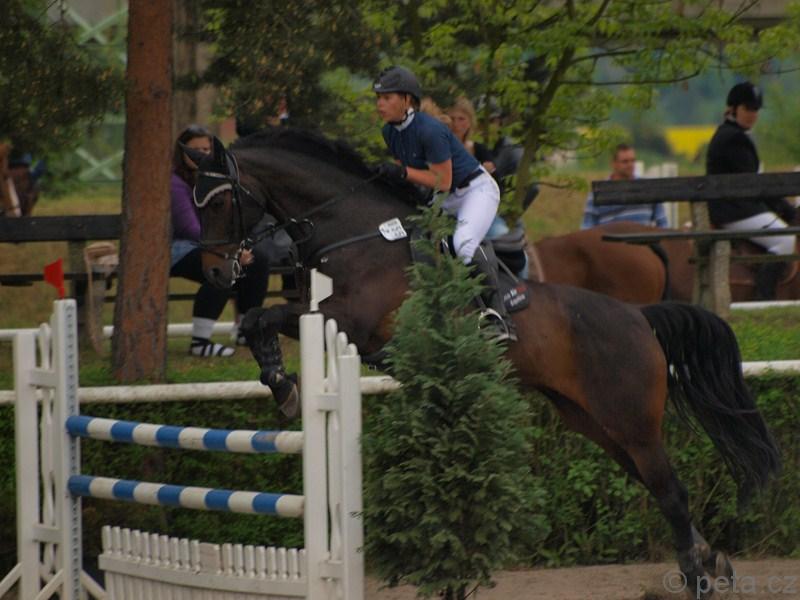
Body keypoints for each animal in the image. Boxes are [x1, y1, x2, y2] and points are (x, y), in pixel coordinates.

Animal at [191, 128, 780, 599]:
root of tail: (638, 317)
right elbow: (257, 321)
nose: (219, 273)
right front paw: (279, 382)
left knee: (672, 492)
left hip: (630, 420)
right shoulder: (331, 318)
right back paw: (714, 560)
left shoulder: (348, 320)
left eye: (218, 204)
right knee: (656, 485)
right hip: (595, 424)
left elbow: (267, 316)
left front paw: (285, 385)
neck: (358, 233)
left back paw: (698, 578)